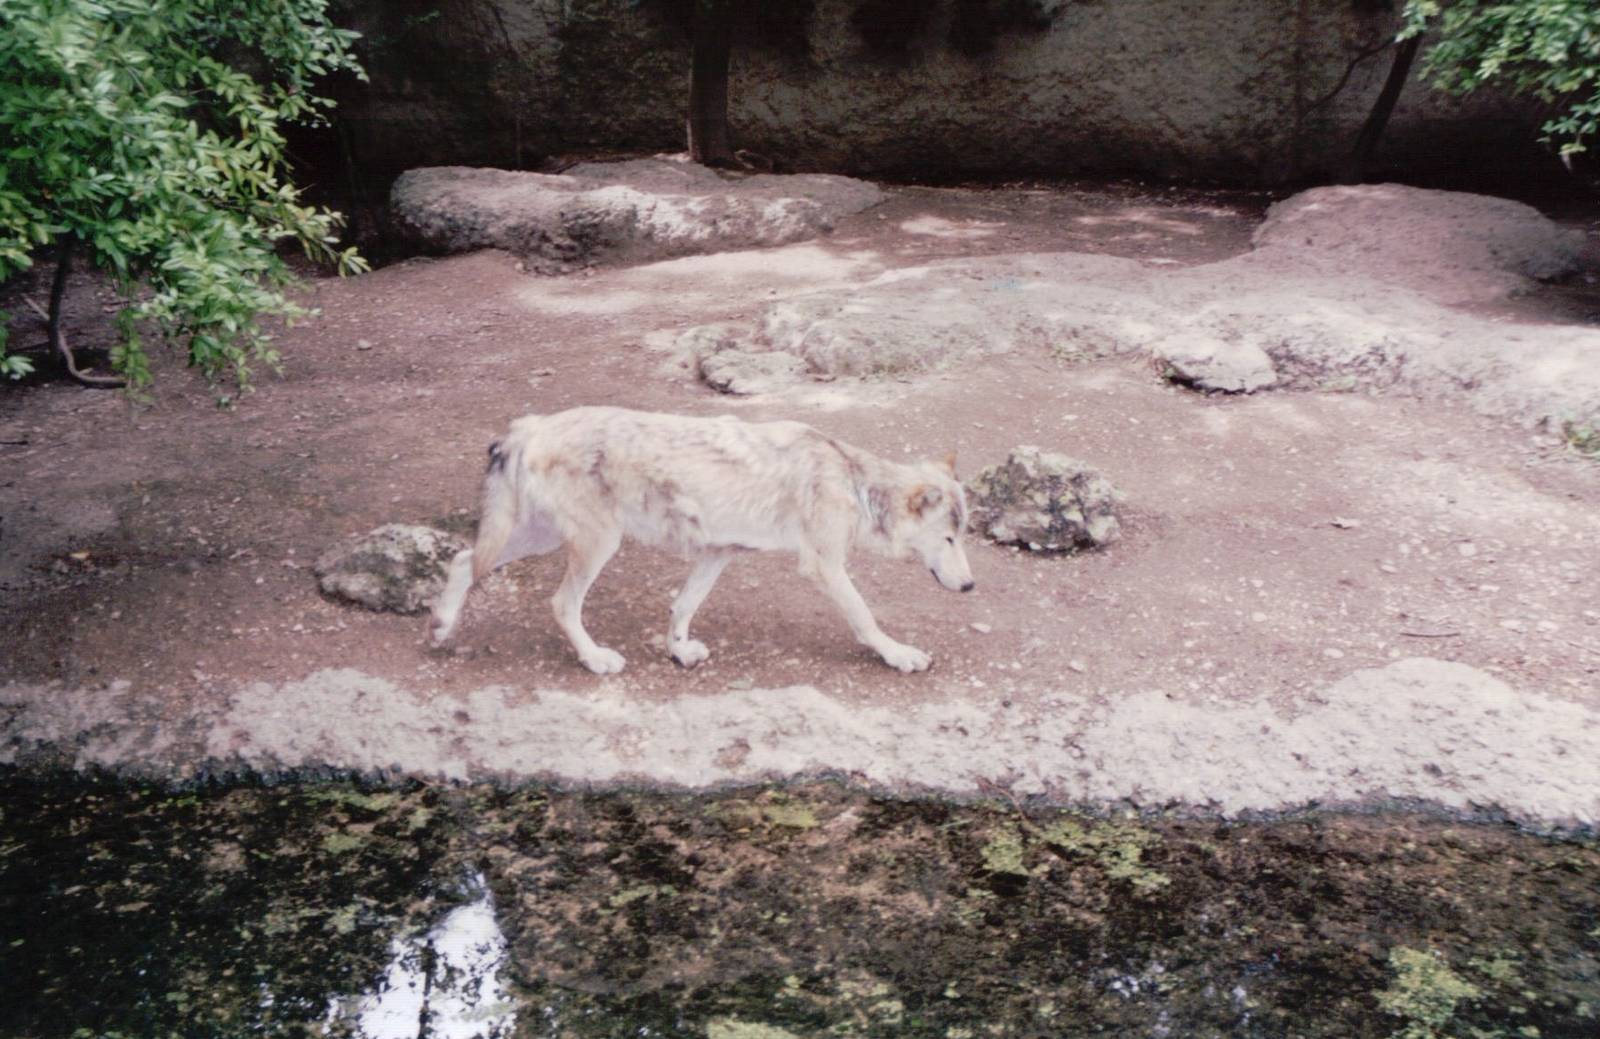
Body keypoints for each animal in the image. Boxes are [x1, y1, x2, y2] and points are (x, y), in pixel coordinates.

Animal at [428, 406, 974, 674]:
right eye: (950, 538)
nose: (971, 587)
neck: (854, 483)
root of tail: (530, 426)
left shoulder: (718, 554)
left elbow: (682, 607)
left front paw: (678, 652)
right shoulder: (824, 566)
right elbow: (865, 618)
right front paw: (899, 655)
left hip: (537, 537)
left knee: (462, 559)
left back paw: (440, 627)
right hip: (599, 544)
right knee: (561, 604)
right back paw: (596, 660)